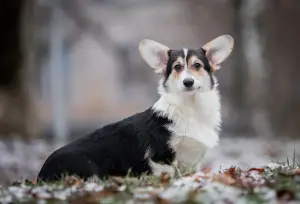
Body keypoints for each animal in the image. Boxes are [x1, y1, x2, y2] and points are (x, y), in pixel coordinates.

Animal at [37, 34, 233, 182]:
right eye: (177, 67)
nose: (188, 82)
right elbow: (168, 174)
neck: (190, 108)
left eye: (197, 66)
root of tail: (41, 174)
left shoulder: (192, 163)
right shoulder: (160, 157)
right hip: (88, 168)